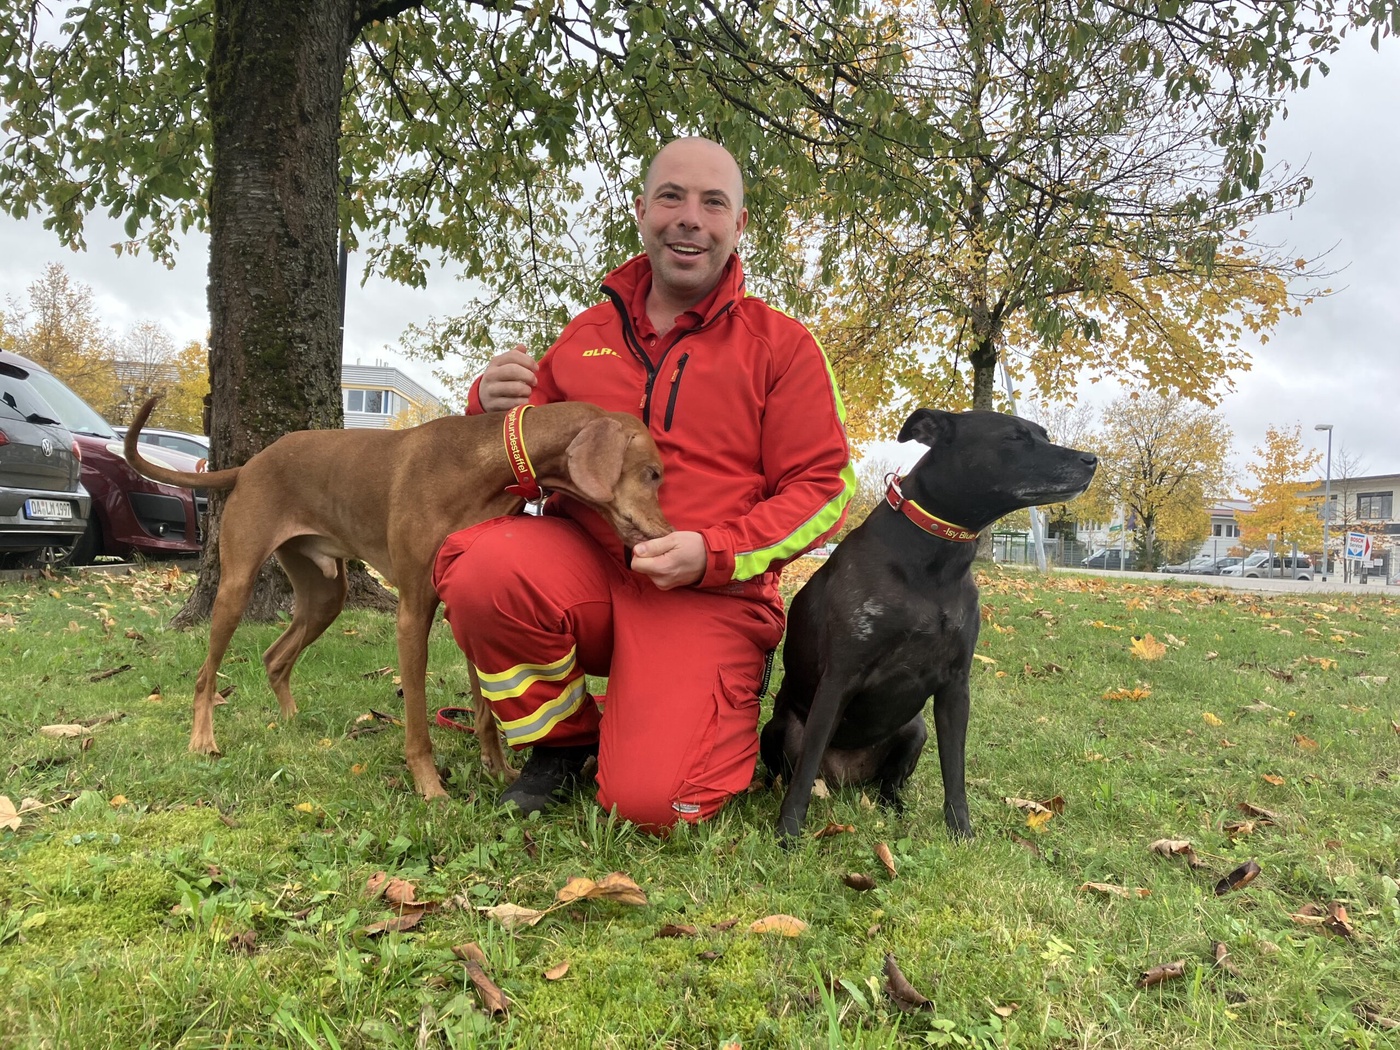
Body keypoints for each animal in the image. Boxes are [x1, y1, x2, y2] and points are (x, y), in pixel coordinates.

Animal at [123, 397, 669, 800]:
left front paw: (498, 772)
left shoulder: (461, 611)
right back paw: (203, 740)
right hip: (236, 587)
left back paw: (294, 724)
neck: (480, 464)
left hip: (325, 596)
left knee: (275, 657)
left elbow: (486, 713)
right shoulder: (413, 613)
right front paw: (431, 789)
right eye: (654, 473)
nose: (669, 532)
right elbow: (418, 725)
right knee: (205, 674)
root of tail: (249, 464)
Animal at [761, 406, 1097, 845]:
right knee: (791, 773)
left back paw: (895, 806)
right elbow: (801, 778)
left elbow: (955, 772)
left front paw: (962, 834)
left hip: (914, 728)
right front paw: (787, 834)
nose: (1091, 460)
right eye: (1015, 437)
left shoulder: (955, 686)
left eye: (1042, 434)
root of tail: (844, 779)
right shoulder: (837, 680)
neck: (935, 559)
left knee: (888, 784)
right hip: (777, 729)